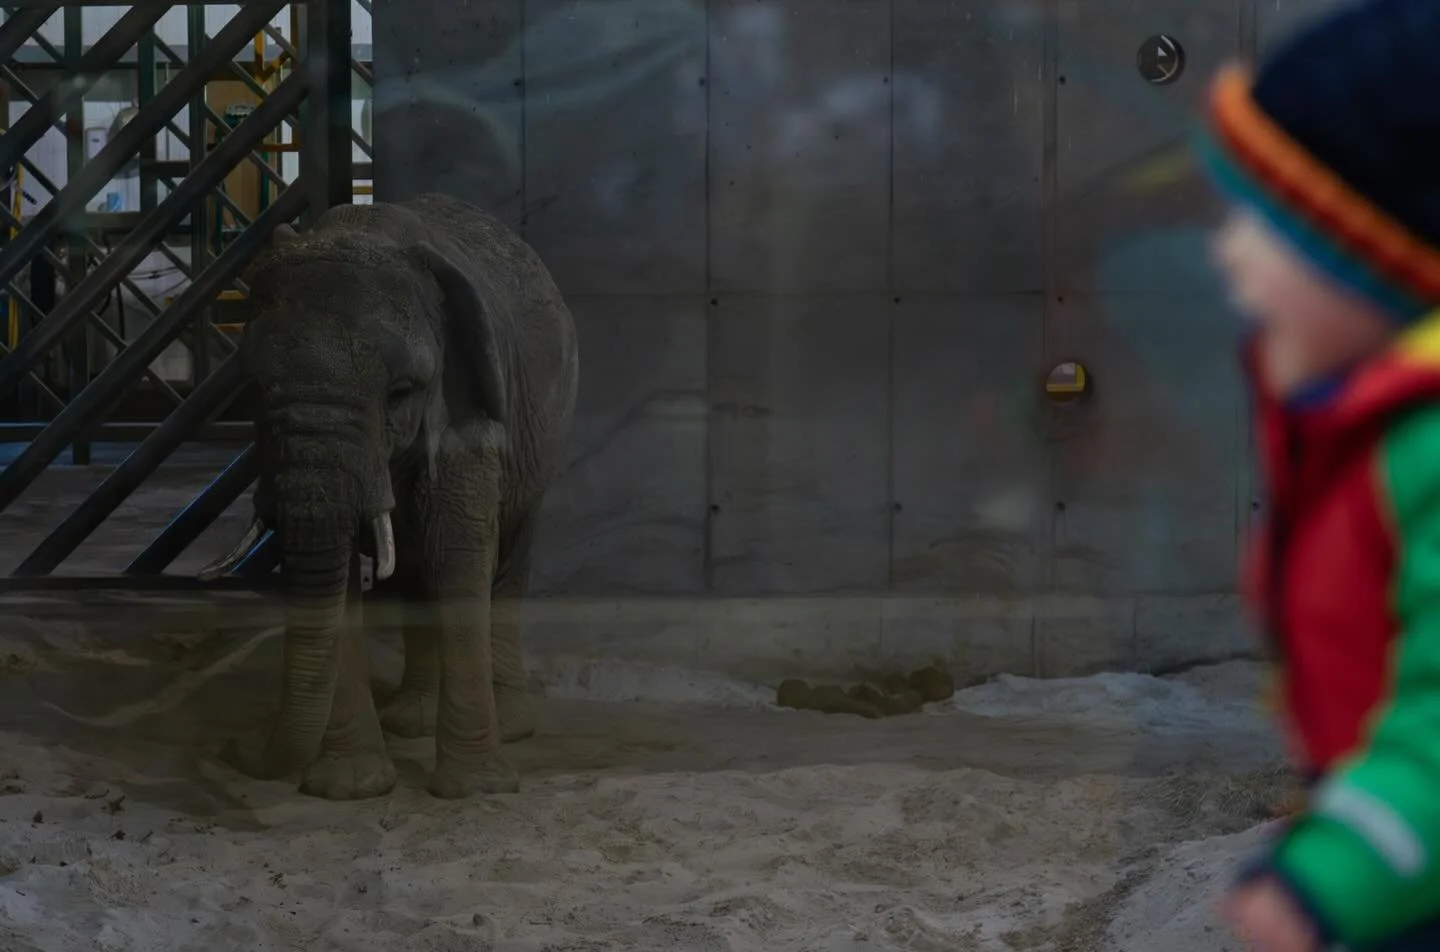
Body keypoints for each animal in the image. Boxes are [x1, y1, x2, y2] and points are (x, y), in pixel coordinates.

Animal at [201, 193, 578, 801]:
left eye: (401, 392)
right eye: (255, 389)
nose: (235, 749)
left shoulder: (467, 398)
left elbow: (460, 549)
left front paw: (475, 790)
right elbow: (344, 580)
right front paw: (349, 788)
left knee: (510, 554)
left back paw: (511, 724)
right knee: (415, 573)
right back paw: (411, 722)